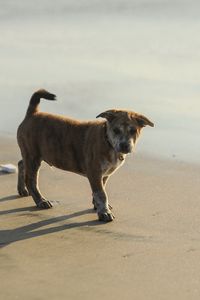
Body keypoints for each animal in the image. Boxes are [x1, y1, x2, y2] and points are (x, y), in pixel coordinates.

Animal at [17, 88, 154, 221]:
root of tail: (32, 114)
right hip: (33, 156)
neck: (108, 141)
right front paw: (104, 212)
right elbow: (101, 194)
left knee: (21, 164)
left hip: (30, 154)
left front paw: (97, 206)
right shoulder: (94, 171)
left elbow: (100, 190)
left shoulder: (103, 175)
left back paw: (22, 190)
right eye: (116, 130)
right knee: (31, 180)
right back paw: (41, 201)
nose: (125, 145)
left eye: (133, 131)